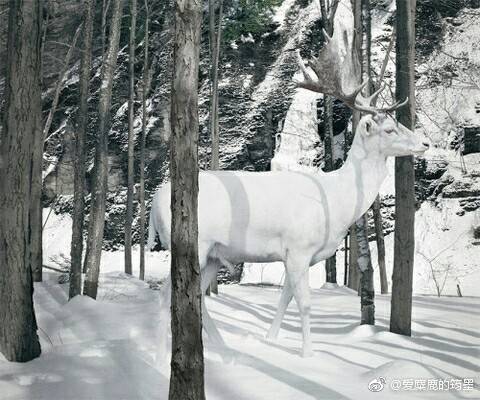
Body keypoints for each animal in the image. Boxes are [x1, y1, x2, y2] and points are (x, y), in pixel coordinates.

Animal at [148, 29, 430, 358]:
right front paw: (308, 354)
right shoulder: (298, 247)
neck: (337, 202)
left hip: (215, 255)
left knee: (199, 299)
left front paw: (271, 341)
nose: (425, 143)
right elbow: (305, 304)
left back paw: (224, 349)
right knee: (165, 295)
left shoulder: (299, 256)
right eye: (388, 130)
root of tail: (153, 204)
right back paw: (159, 353)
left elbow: (285, 299)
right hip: (190, 243)